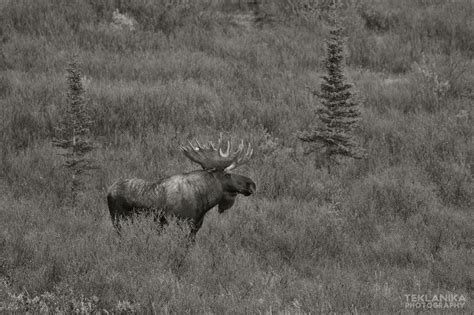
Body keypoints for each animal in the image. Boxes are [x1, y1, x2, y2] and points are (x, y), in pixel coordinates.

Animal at [107, 135, 256, 236]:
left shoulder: (195, 227)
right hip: (119, 220)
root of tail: (108, 192)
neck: (204, 201)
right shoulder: (183, 224)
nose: (252, 184)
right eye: (227, 174)